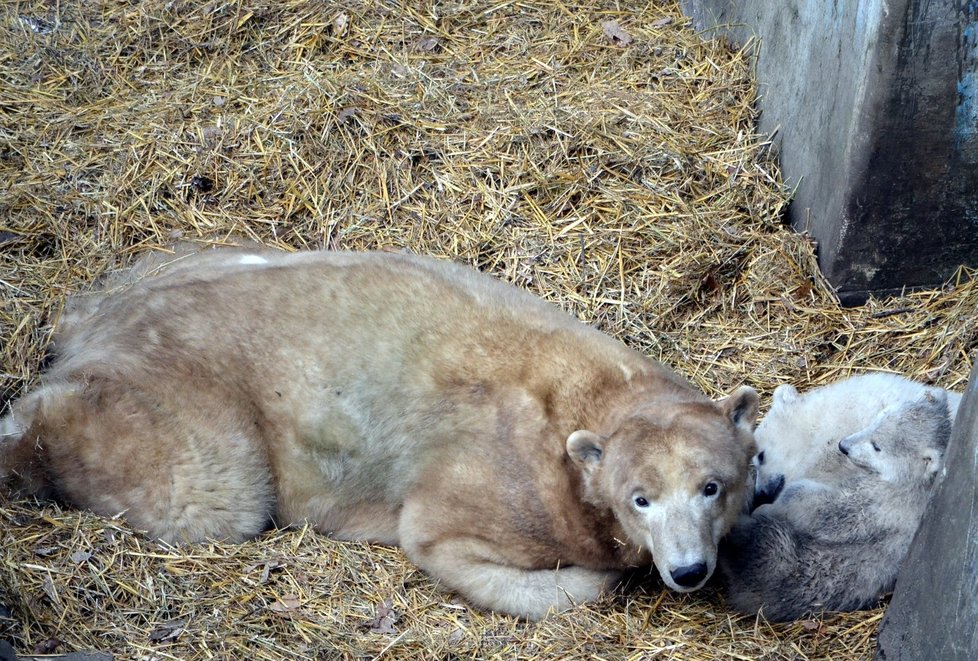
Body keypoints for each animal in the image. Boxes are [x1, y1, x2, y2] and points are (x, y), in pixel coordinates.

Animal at [0, 246, 756, 620]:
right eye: (640, 498)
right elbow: (444, 541)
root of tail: (94, 324)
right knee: (209, 491)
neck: (586, 397)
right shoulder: (501, 482)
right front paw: (602, 577)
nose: (689, 569)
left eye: (712, 486)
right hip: (186, 387)